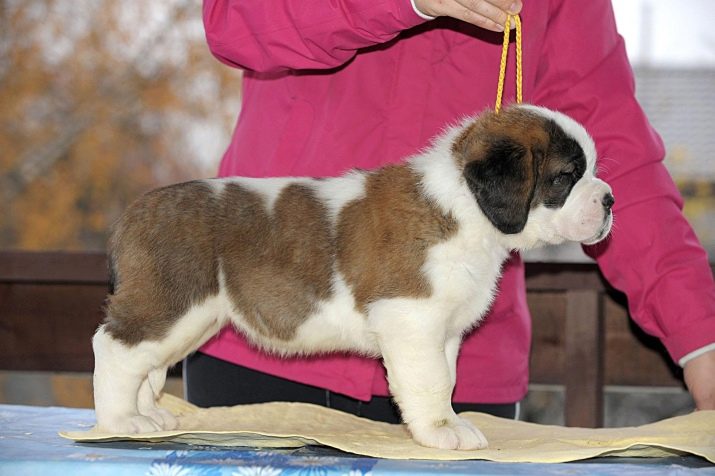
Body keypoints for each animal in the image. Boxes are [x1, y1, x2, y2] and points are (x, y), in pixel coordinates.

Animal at [92, 104, 614, 450]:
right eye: (565, 177)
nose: (609, 200)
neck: (468, 209)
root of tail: (135, 212)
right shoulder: (411, 318)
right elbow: (428, 381)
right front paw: (439, 432)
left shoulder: (441, 329)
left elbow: (445, 379)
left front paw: (446, 422)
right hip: (170, 303)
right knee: (115, 348)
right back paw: (121, 421)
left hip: (188, 319)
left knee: (147, 364)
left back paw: (148, 412)